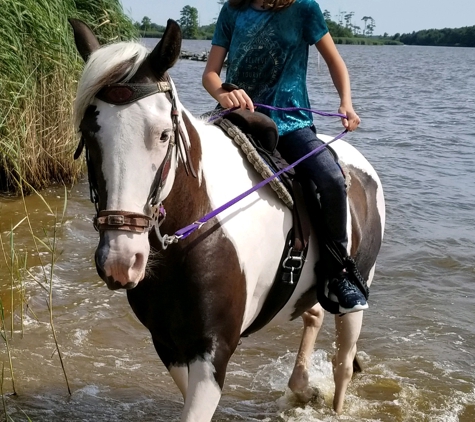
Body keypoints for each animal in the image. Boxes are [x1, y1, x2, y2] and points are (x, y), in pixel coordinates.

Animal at [69, 18, 384, 420]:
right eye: (89, 133)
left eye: (164, 135)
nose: (122, 260)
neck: (196, 230)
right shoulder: (168, 344)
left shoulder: (213, 351)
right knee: (312, 315)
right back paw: (301, 387)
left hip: (357, 290)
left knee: (343, 361)